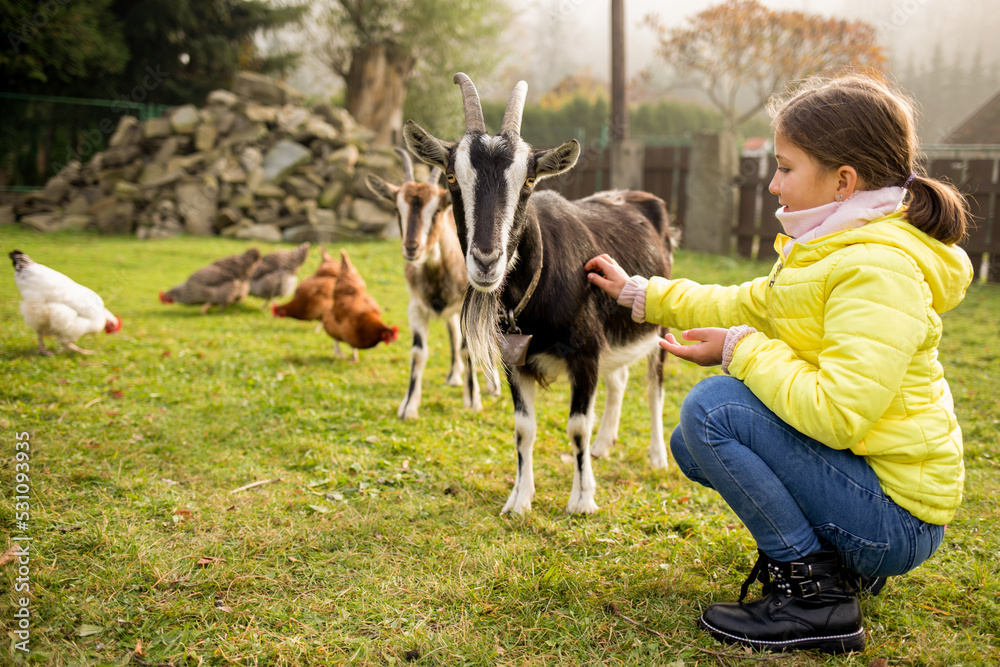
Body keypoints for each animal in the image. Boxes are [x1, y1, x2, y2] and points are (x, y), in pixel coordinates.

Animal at [366, 149, 500, 420]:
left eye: (437, 211)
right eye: (397, 209)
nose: (412, 248)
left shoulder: (466, 307)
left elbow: (468, 348)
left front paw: (473, 400)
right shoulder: (416, 307)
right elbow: (419, 352)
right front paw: (408, 406)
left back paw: (493, 385)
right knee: (452, 333)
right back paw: (453, 376)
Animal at [402, 73, 676, 516]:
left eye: (528, 181)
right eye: (451, 177)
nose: (486, 261)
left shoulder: (585, 354)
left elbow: (577, 426)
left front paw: (582, 500)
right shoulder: (516, 362)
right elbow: (523, 428)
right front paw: (519, 499)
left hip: (658, 325)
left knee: (655, 386)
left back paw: (656, 456)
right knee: (619, 380)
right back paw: (604, 446)